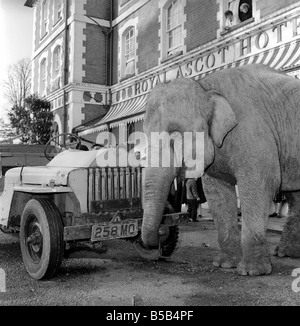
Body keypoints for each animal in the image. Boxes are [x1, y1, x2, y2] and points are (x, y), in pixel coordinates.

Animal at [142, 64, 300, 278]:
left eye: (175, 135)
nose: (161, 233)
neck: (205, 86)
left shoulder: (253, 133)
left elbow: (260, 185)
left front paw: (251, 272)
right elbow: (217, 193)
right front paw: (224, 265)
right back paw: (285, 253)